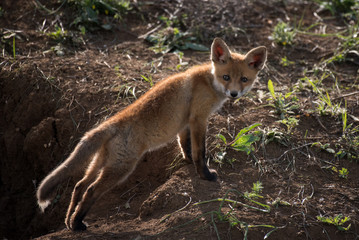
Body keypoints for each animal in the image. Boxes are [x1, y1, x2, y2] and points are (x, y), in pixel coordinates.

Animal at [36, 37, 268, 231]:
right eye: (226, 77)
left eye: (244, 79)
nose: (234, 93)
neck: (209, 81)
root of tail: (111, 123)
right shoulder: (199, 119)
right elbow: (199, 152)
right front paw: (205, 175)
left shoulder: (185, 123)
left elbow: (185, 146)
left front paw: (186, 163)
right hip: (122, 168)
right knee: (91, 190)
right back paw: (77, 224)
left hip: (102, 162)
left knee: (79, 185)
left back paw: (69, 221)